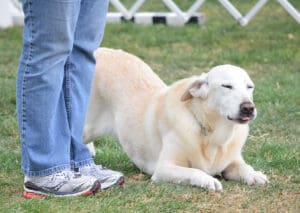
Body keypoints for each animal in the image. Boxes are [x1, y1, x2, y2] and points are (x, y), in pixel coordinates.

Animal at [83, 47, 268, 190]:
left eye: (249, 87)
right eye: (227, 86)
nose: (248, 108)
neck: (212, 132)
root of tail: (99, 50)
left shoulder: (231, 161)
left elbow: (244, 167)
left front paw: (254, 174)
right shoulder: (164, 168)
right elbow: (195, 171)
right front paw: (208, 180)